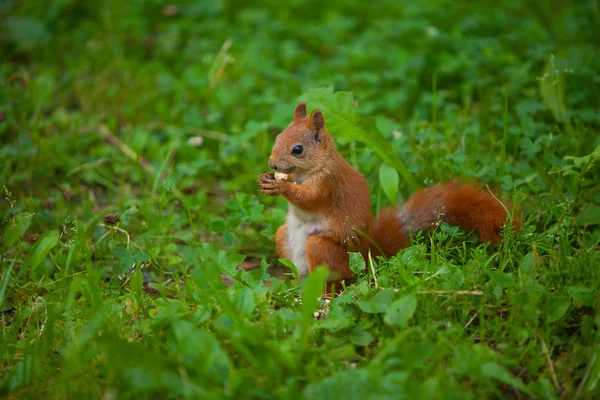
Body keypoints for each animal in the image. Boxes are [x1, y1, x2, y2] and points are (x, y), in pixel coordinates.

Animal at [258, 103, 520, 288]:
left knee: (334, 282)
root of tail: (367, 254)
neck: (308, 171)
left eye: (298, 150)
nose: (272, 164)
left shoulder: (328, 184)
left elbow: (313, 199)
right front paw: (266, 179)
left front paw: (281, 188)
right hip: (284, 238)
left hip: (324, 248)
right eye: (278, 137)